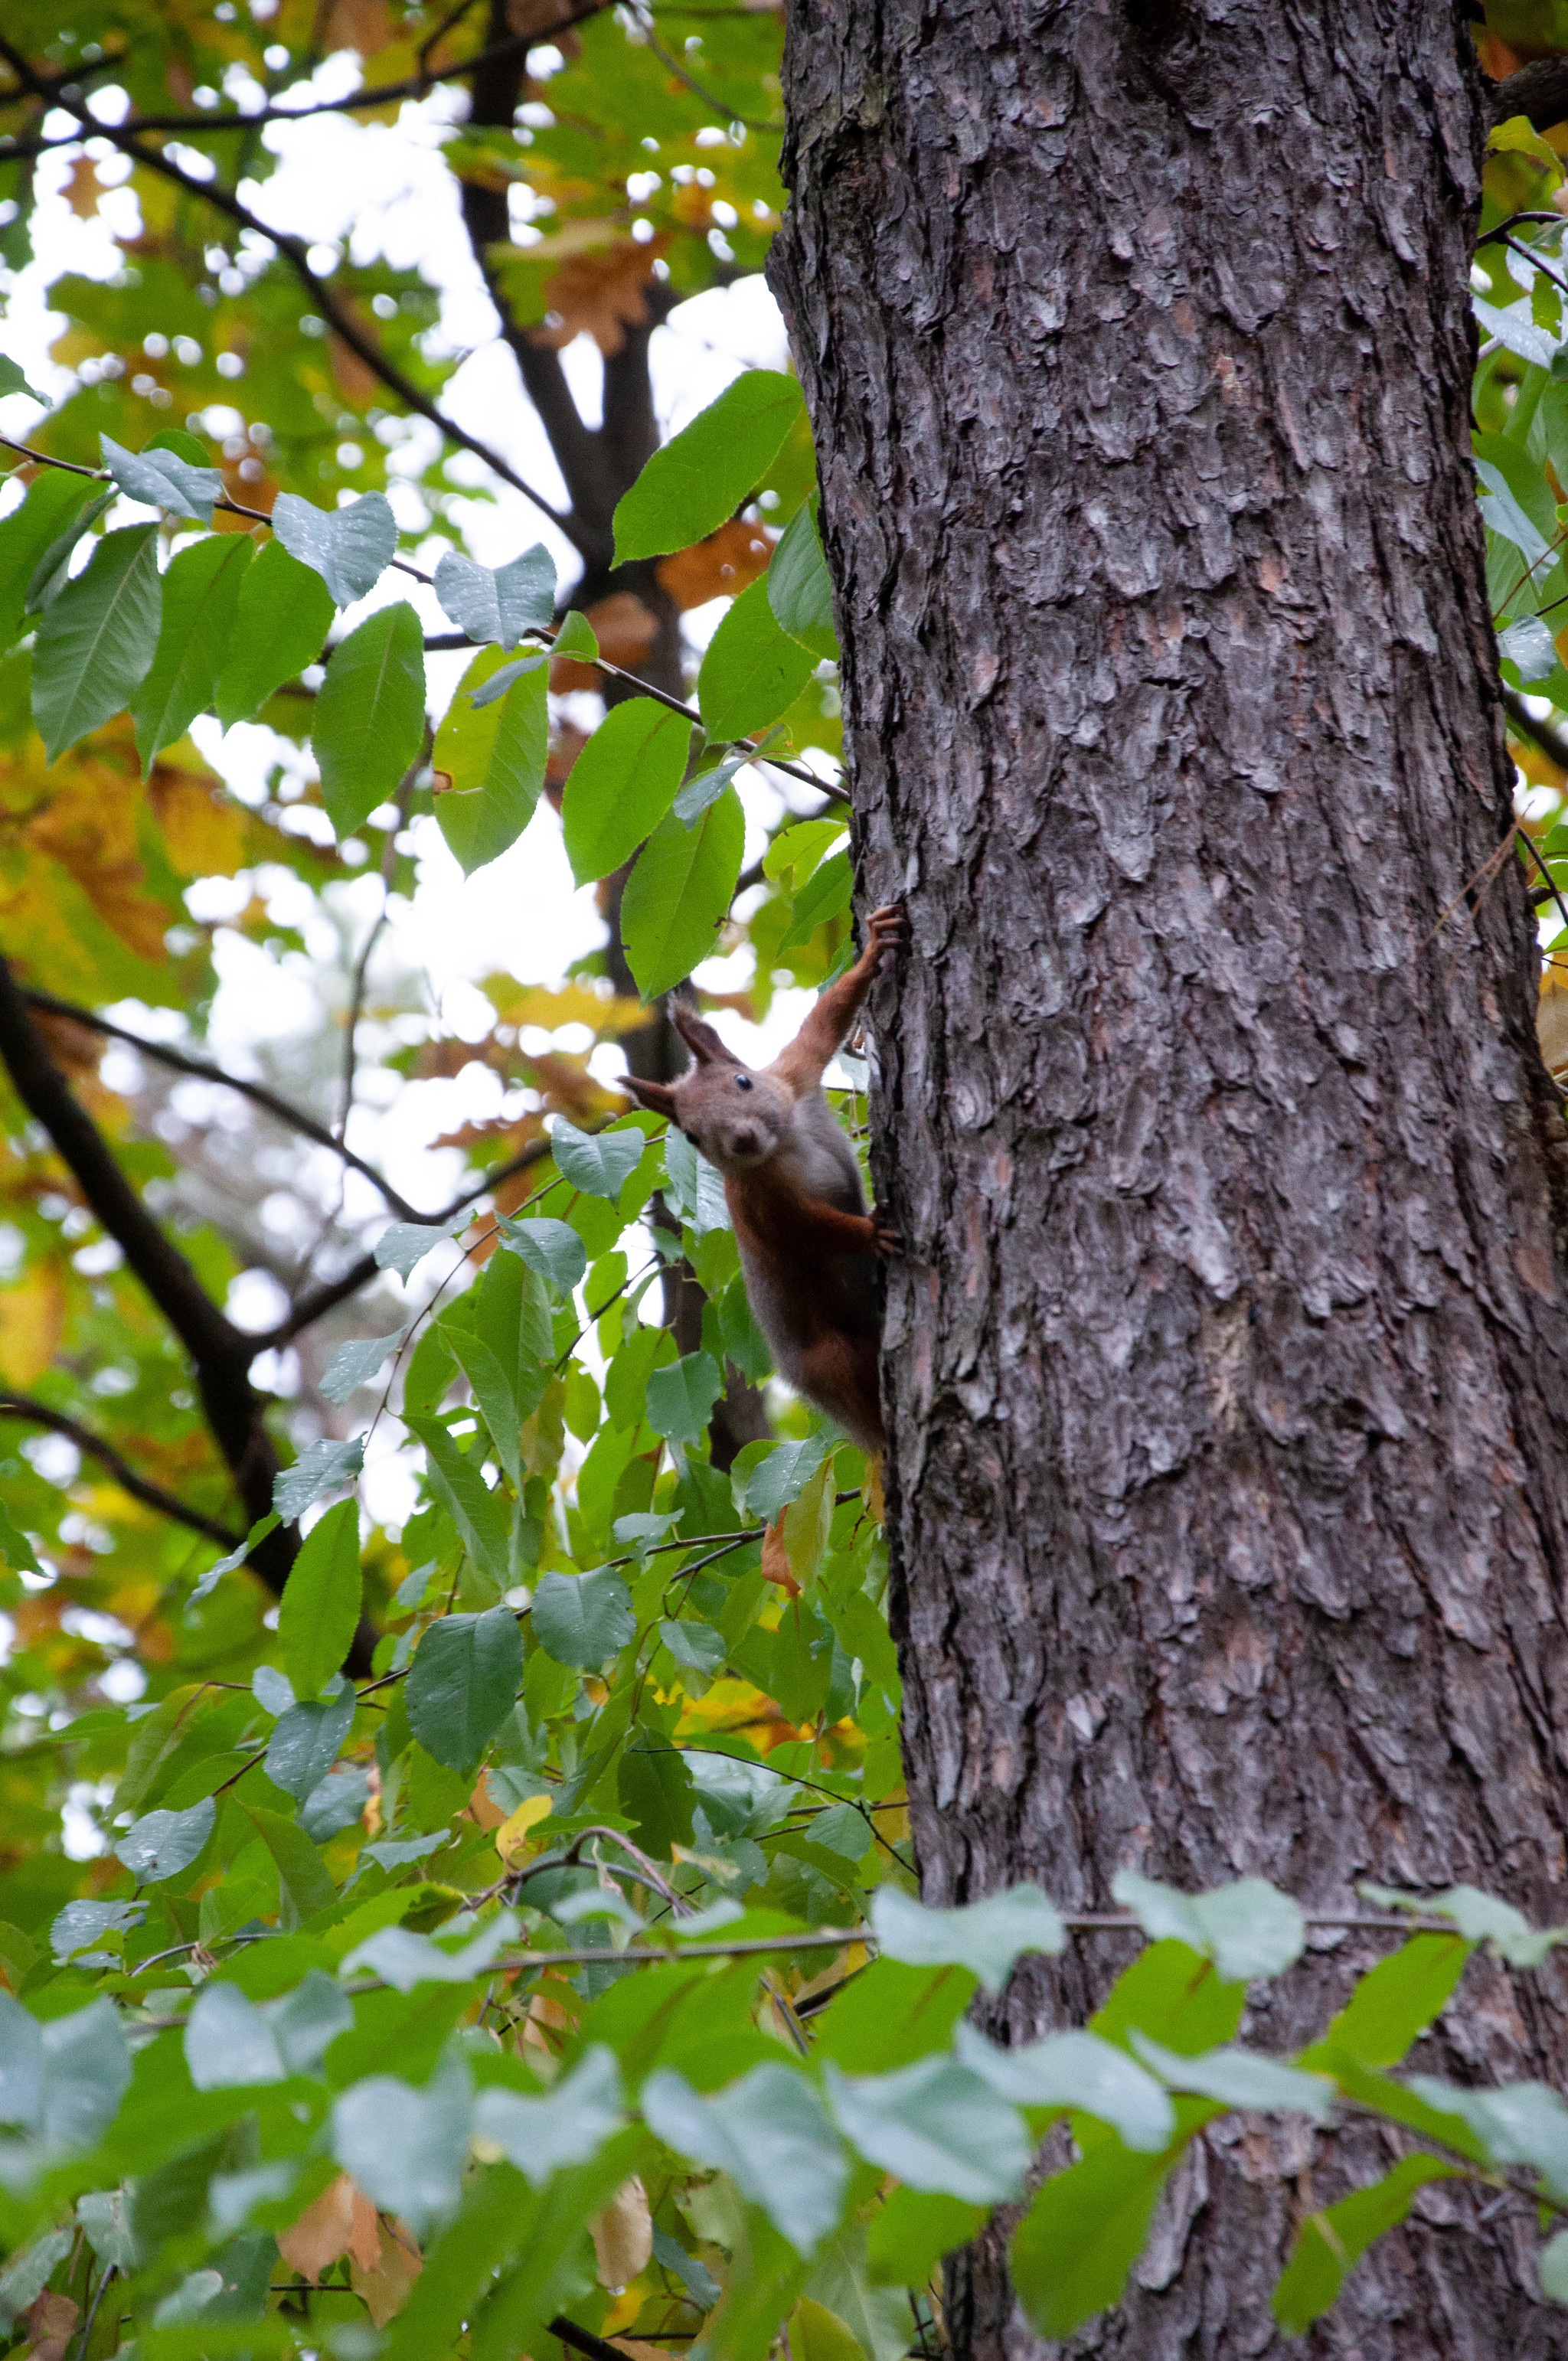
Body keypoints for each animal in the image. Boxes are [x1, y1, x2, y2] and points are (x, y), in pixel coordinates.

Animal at [619, 902, 902, 1454]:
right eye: (691, 1137)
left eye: (743, 1080)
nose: (743, 1140)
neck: (785, 1144)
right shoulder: (760, 1204)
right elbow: (809, 1232)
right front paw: (872, 1230)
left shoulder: (795, 1076)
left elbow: (825, 1023)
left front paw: (874, 949)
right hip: (828, 1359)